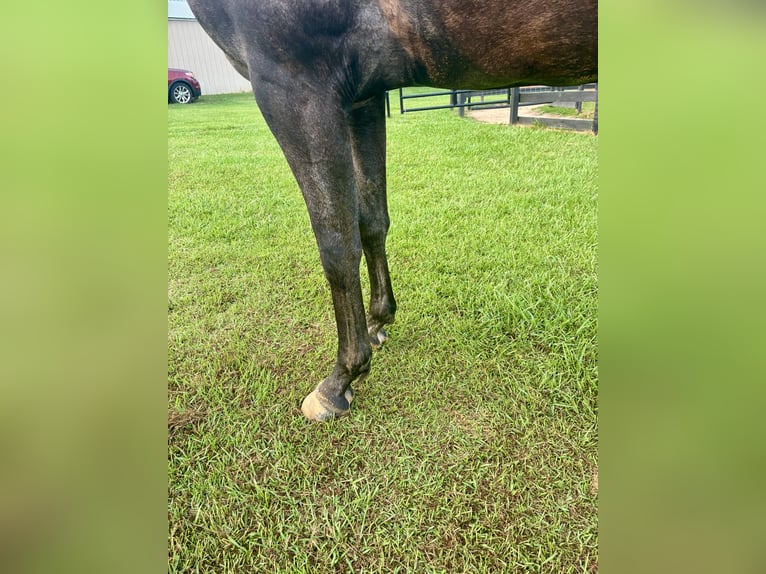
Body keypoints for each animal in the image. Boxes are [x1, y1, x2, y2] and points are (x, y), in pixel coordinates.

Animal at [185, 0, 598, 421]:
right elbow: (371, 220)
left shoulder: (293, 83)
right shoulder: (361, 98)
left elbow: (337, 246)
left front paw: (340, 379)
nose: (341, 378)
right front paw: (378, 321)